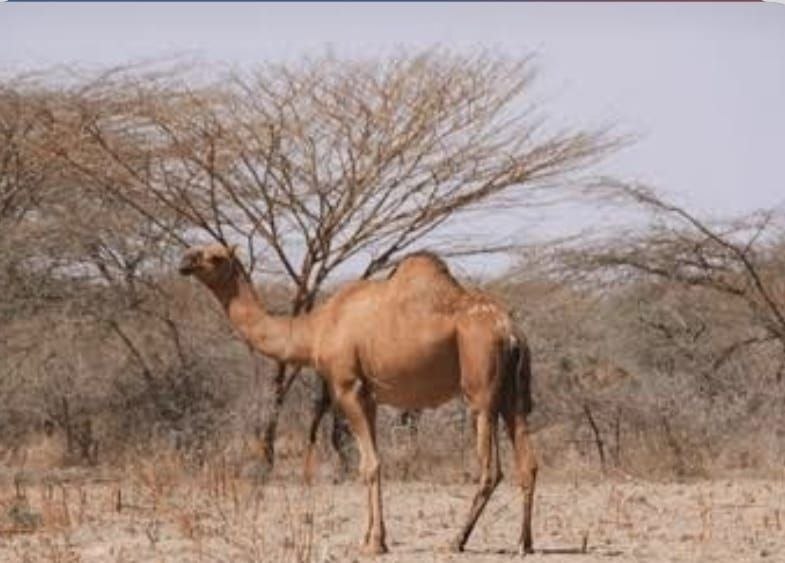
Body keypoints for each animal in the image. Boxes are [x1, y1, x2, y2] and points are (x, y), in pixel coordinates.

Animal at [178, 243, 537, 555]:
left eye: (216, 257)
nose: (184, 261)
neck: (315, 330)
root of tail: (510, 332)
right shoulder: (371, 396)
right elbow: (371, 462)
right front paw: (374, 538)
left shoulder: (347, 386)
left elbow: (369, 464)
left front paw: (373, 543)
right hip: (514, 395)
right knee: (528, 462)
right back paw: (524, 543)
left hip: (481, 390)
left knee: (491, 469)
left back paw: (456, 541)